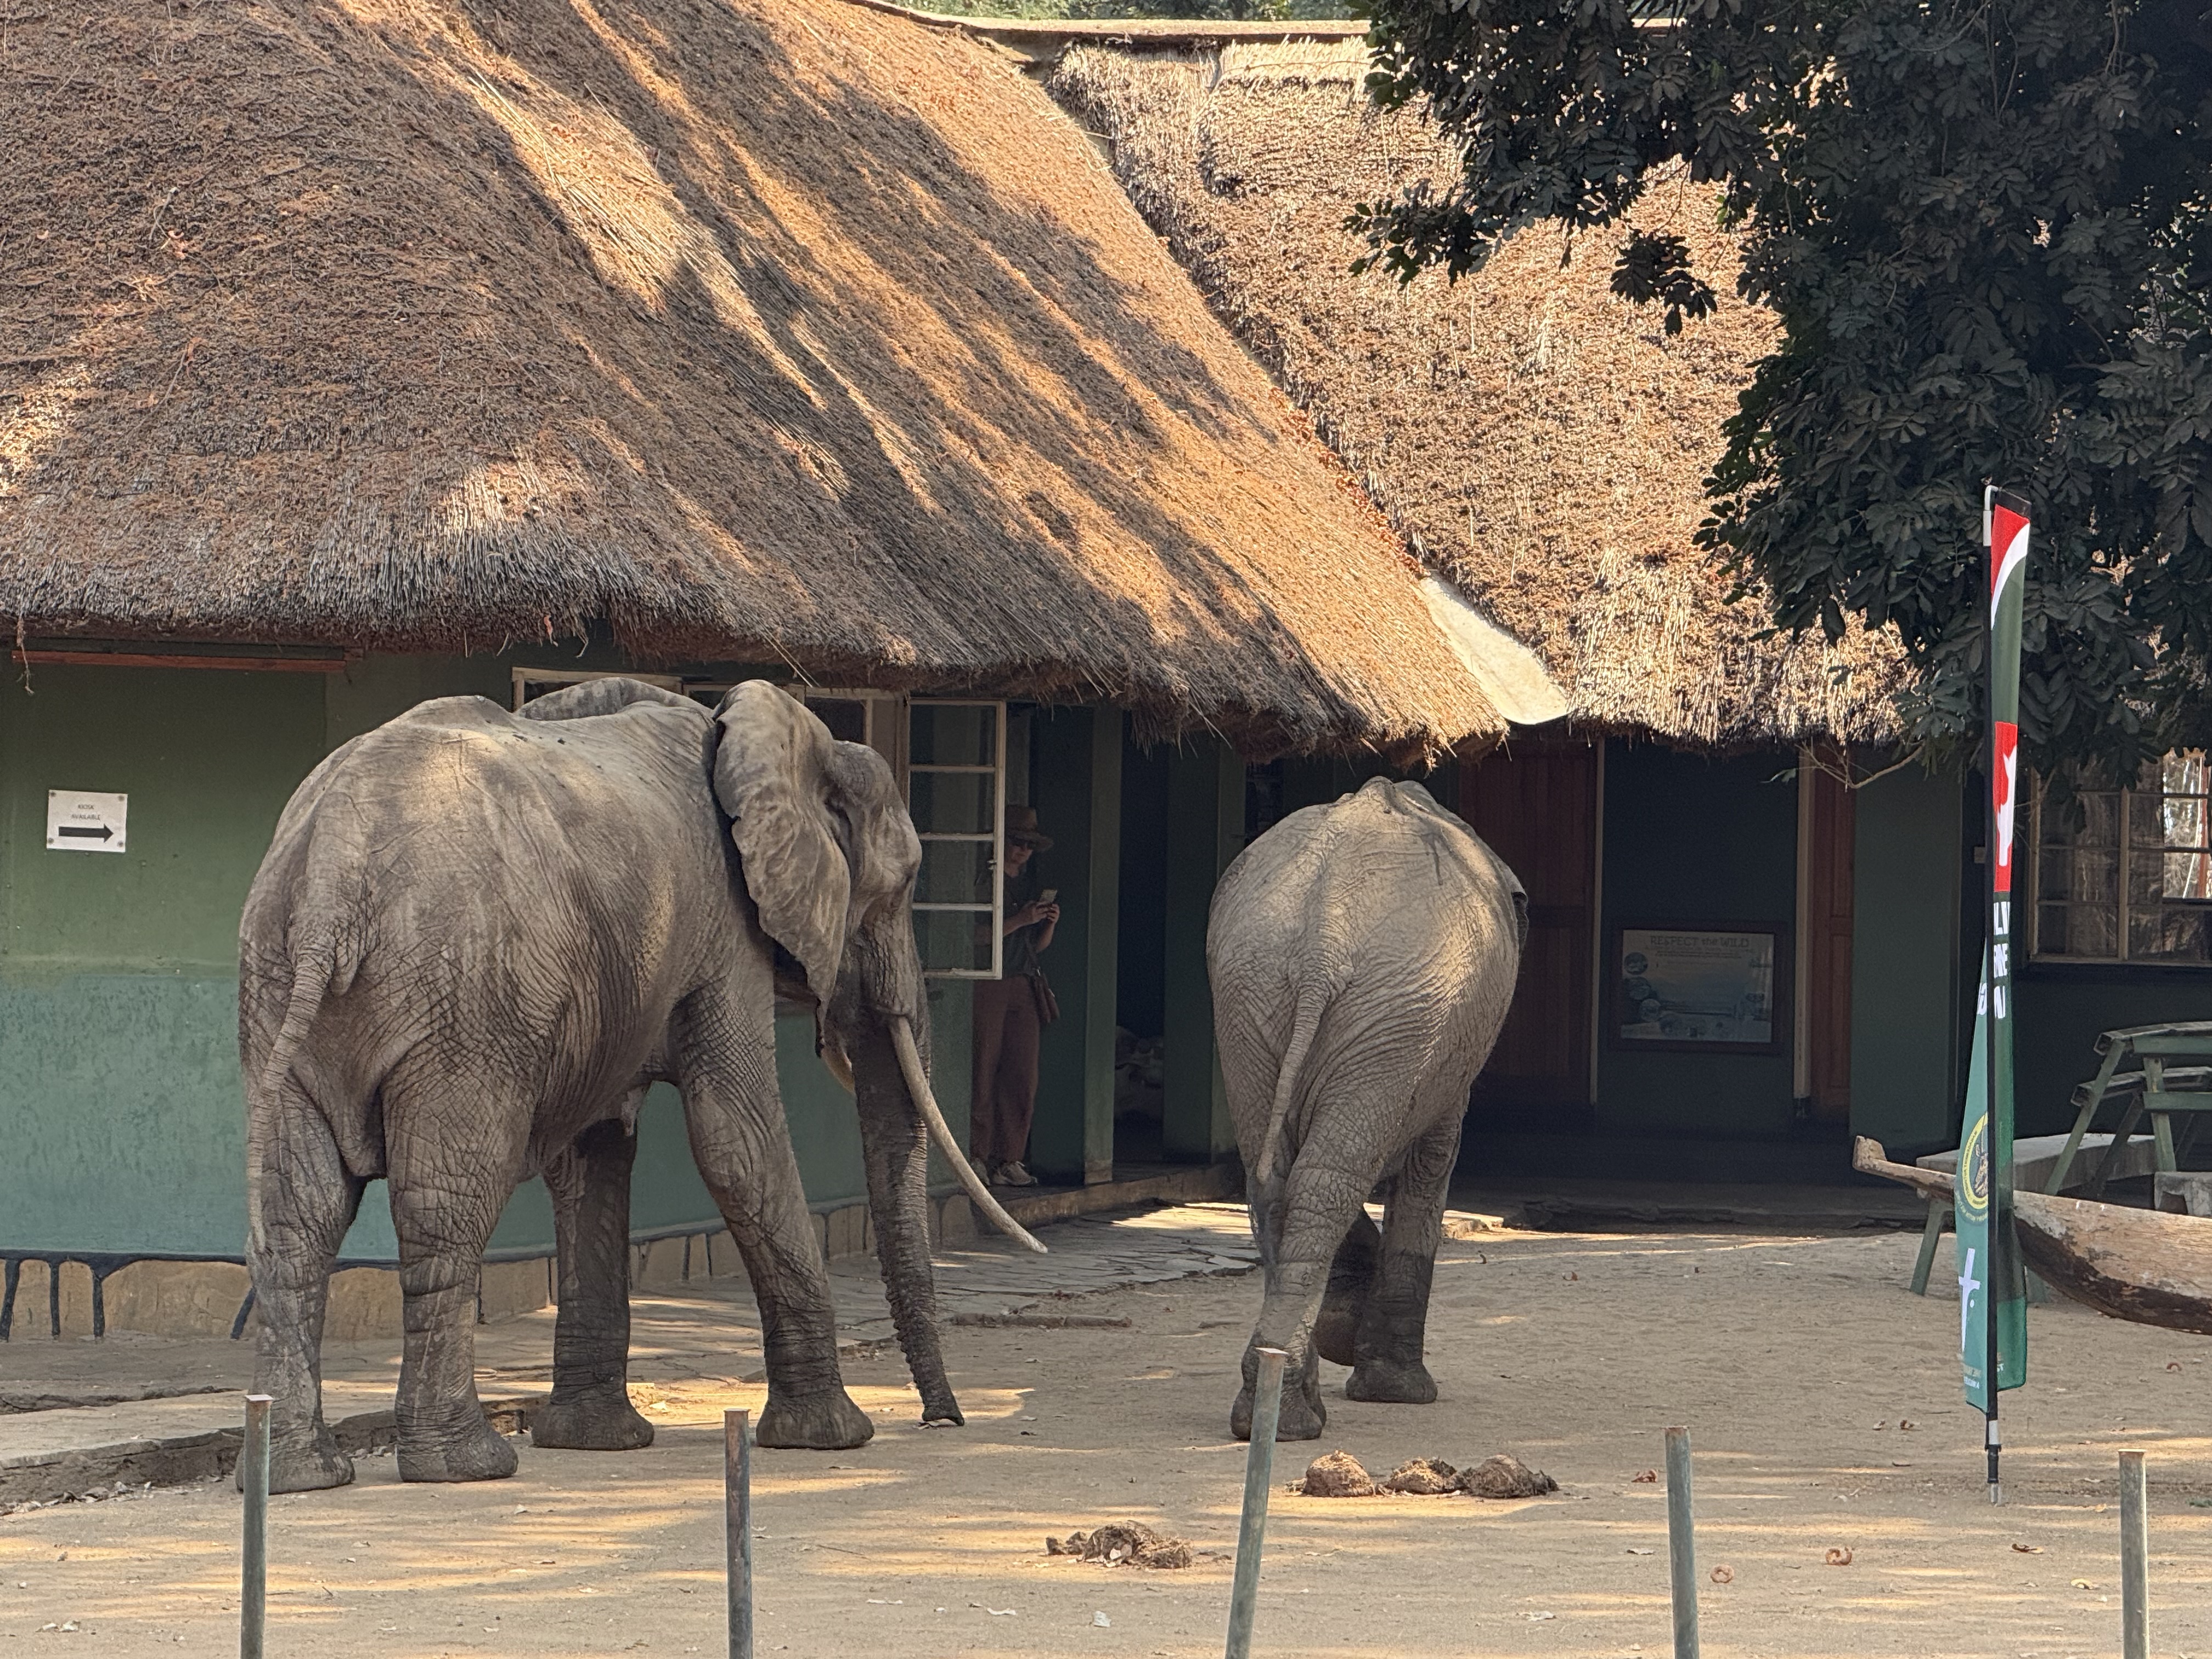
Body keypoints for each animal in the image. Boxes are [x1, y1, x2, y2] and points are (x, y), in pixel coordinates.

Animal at [238, 676, 1039, 1494]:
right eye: (900, 885)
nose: (942, 1421)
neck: (776, 738)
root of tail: (331, 876)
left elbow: (595, 1157)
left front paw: (597, 1442)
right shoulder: (725, 928)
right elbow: (736, 1141)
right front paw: (833, 1437)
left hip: (281, 987)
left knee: (298, 1215)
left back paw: (298, 1475)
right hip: (464, 999)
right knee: (446, 1200)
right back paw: (464, 1465)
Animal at [1207, 777, 1525, 1441]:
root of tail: (1321, 945)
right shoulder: (1442, 1051)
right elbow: (1433, 1163)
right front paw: (1397, 1392)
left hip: (1254, 995)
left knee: (1284, 1181)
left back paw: (1276, 1416)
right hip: (1395, 1010)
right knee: (1323, 1179)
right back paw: (1295, 1413)